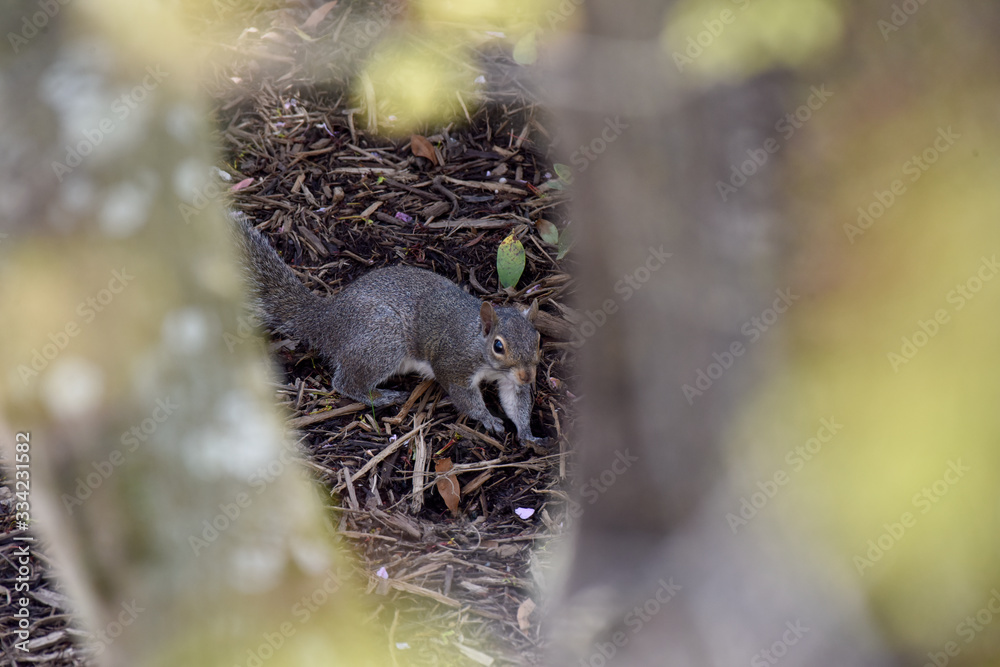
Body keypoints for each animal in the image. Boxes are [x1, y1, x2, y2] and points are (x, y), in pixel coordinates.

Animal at [231, 212, 544, 444]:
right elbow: (465, 398)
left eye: (538, 339)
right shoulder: (454, 364)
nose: (528, 376)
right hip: (384, 337)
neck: (477, 342)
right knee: (345, 382)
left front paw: (527, 432)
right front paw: (488, 418)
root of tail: (326, 318)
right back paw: (381, 396)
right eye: (498, 346)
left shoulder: (511, 380)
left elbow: (516, 401)